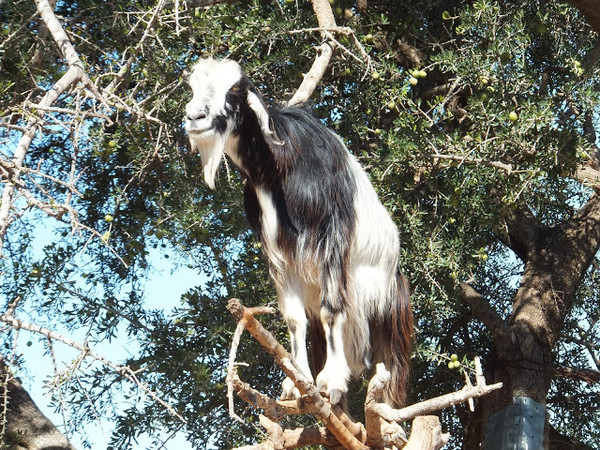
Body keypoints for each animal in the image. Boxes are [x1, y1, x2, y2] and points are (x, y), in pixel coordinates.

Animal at [184, 58, 412, 406]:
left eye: (234, 89)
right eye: (192, 87)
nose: (195, 117)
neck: (281, 167)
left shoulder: (332, 238)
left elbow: (332, 309)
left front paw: (332, 380)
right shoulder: (278, 252)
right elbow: (293, 318)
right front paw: (298, 381)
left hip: (387, 313)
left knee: (389, 375)